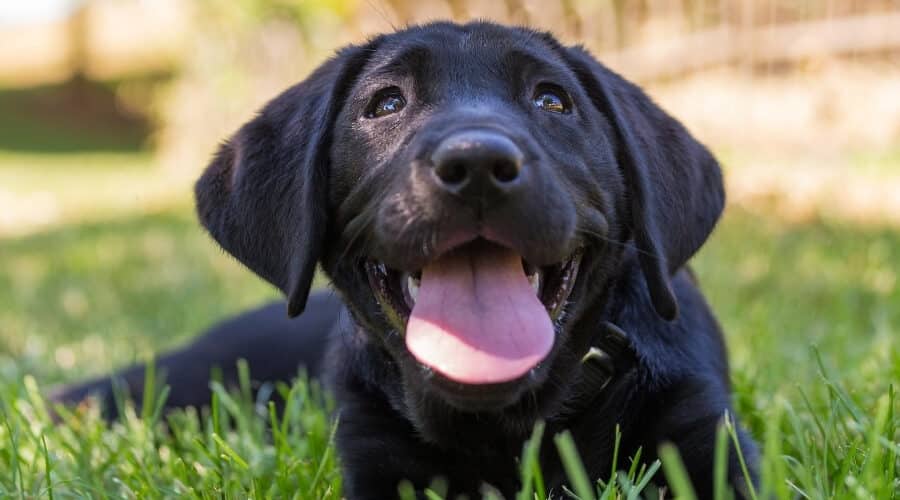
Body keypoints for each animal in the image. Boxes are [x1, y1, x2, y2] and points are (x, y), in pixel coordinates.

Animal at [54, 21, 760, 498]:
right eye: (386, 103)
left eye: (552, 100)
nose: (477, 164)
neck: (504, 427)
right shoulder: (377, 459)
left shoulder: (708, 437)